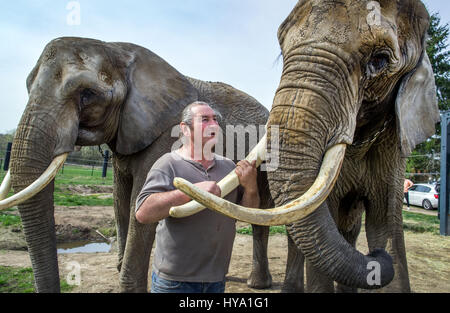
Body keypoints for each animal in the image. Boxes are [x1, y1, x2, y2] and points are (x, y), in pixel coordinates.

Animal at [0, 37, 268, 292]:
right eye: (27, 86)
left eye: (87, 94)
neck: (116, 50)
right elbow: (120, 201)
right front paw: (120, 267)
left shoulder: (164, 134)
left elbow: (138, 203)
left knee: (261, 213)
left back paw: (257, 283)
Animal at [173, 0, 440, 292]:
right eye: (282, 49)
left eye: (379, 59)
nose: (376, 256)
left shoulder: (393, 145)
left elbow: (386, 224)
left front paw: (385, 252)